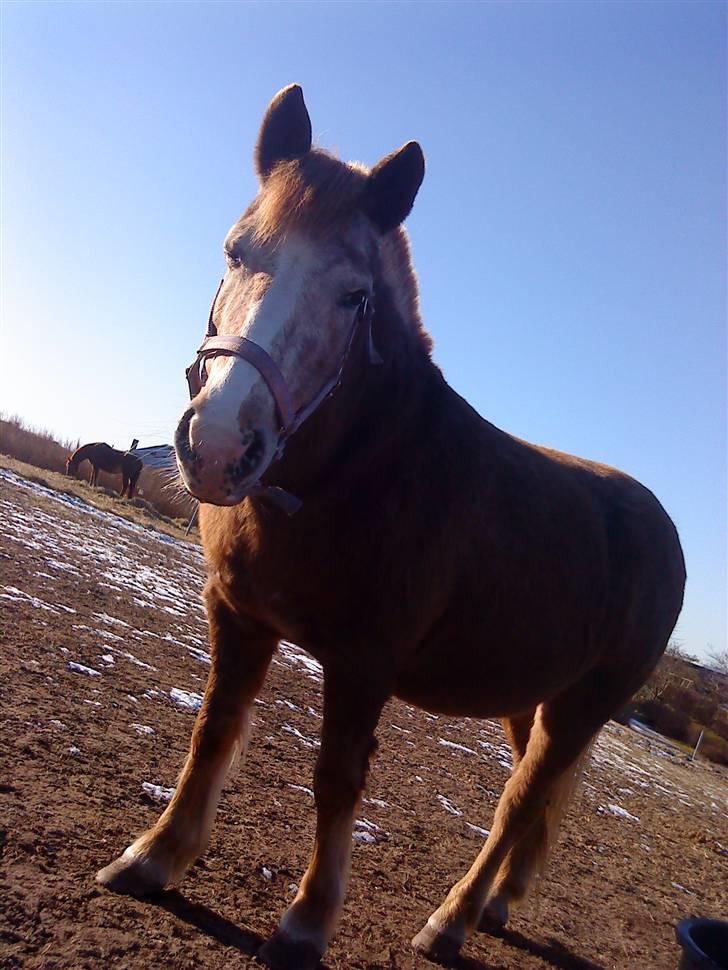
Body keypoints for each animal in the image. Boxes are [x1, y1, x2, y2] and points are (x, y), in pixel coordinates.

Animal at [96, 85, 686, 969]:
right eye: (235, 250)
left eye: (353, 296)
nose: (220, 445)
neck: (356, 476)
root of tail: (662, 530)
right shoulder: (236, 615)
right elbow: (211, 733)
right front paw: (154, 858)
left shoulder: (363, 663)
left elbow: (336, 780)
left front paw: (305, 924)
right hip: (534, 698)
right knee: (536, 800)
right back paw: (498, 904)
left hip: (585, 706)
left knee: (519, 804)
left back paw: (452, 921)